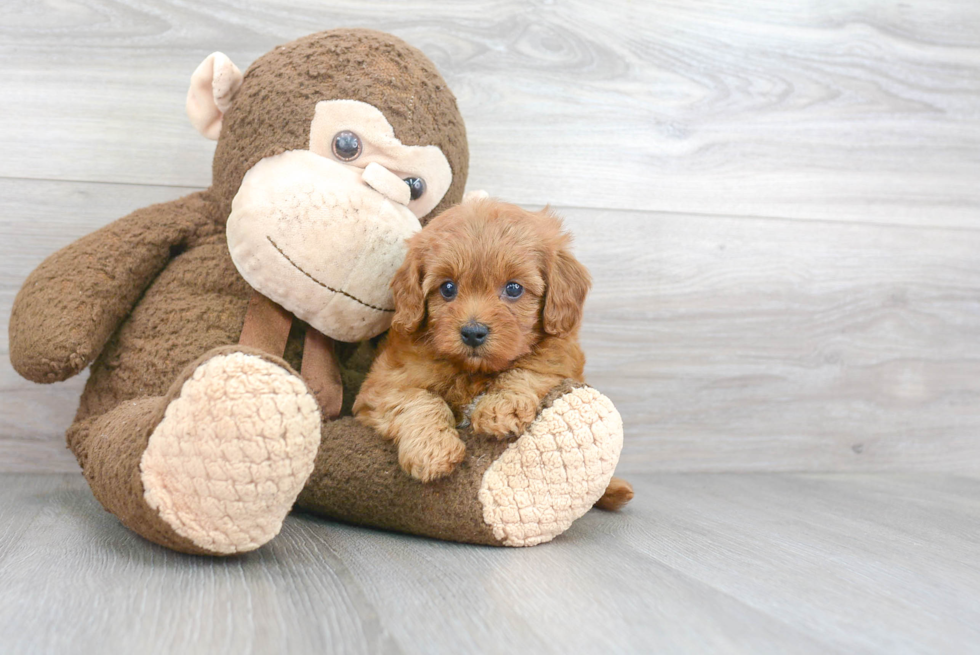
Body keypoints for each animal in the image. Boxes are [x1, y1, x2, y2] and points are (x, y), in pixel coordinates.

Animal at [356, 199, 632, 508]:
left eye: (513, 288)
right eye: (447, 288)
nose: (472, 332)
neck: (473, 371)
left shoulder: (558, 362)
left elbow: (525, 370)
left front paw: (500, 408)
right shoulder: (379, 386)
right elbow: (418, 399)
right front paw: (432, 449)